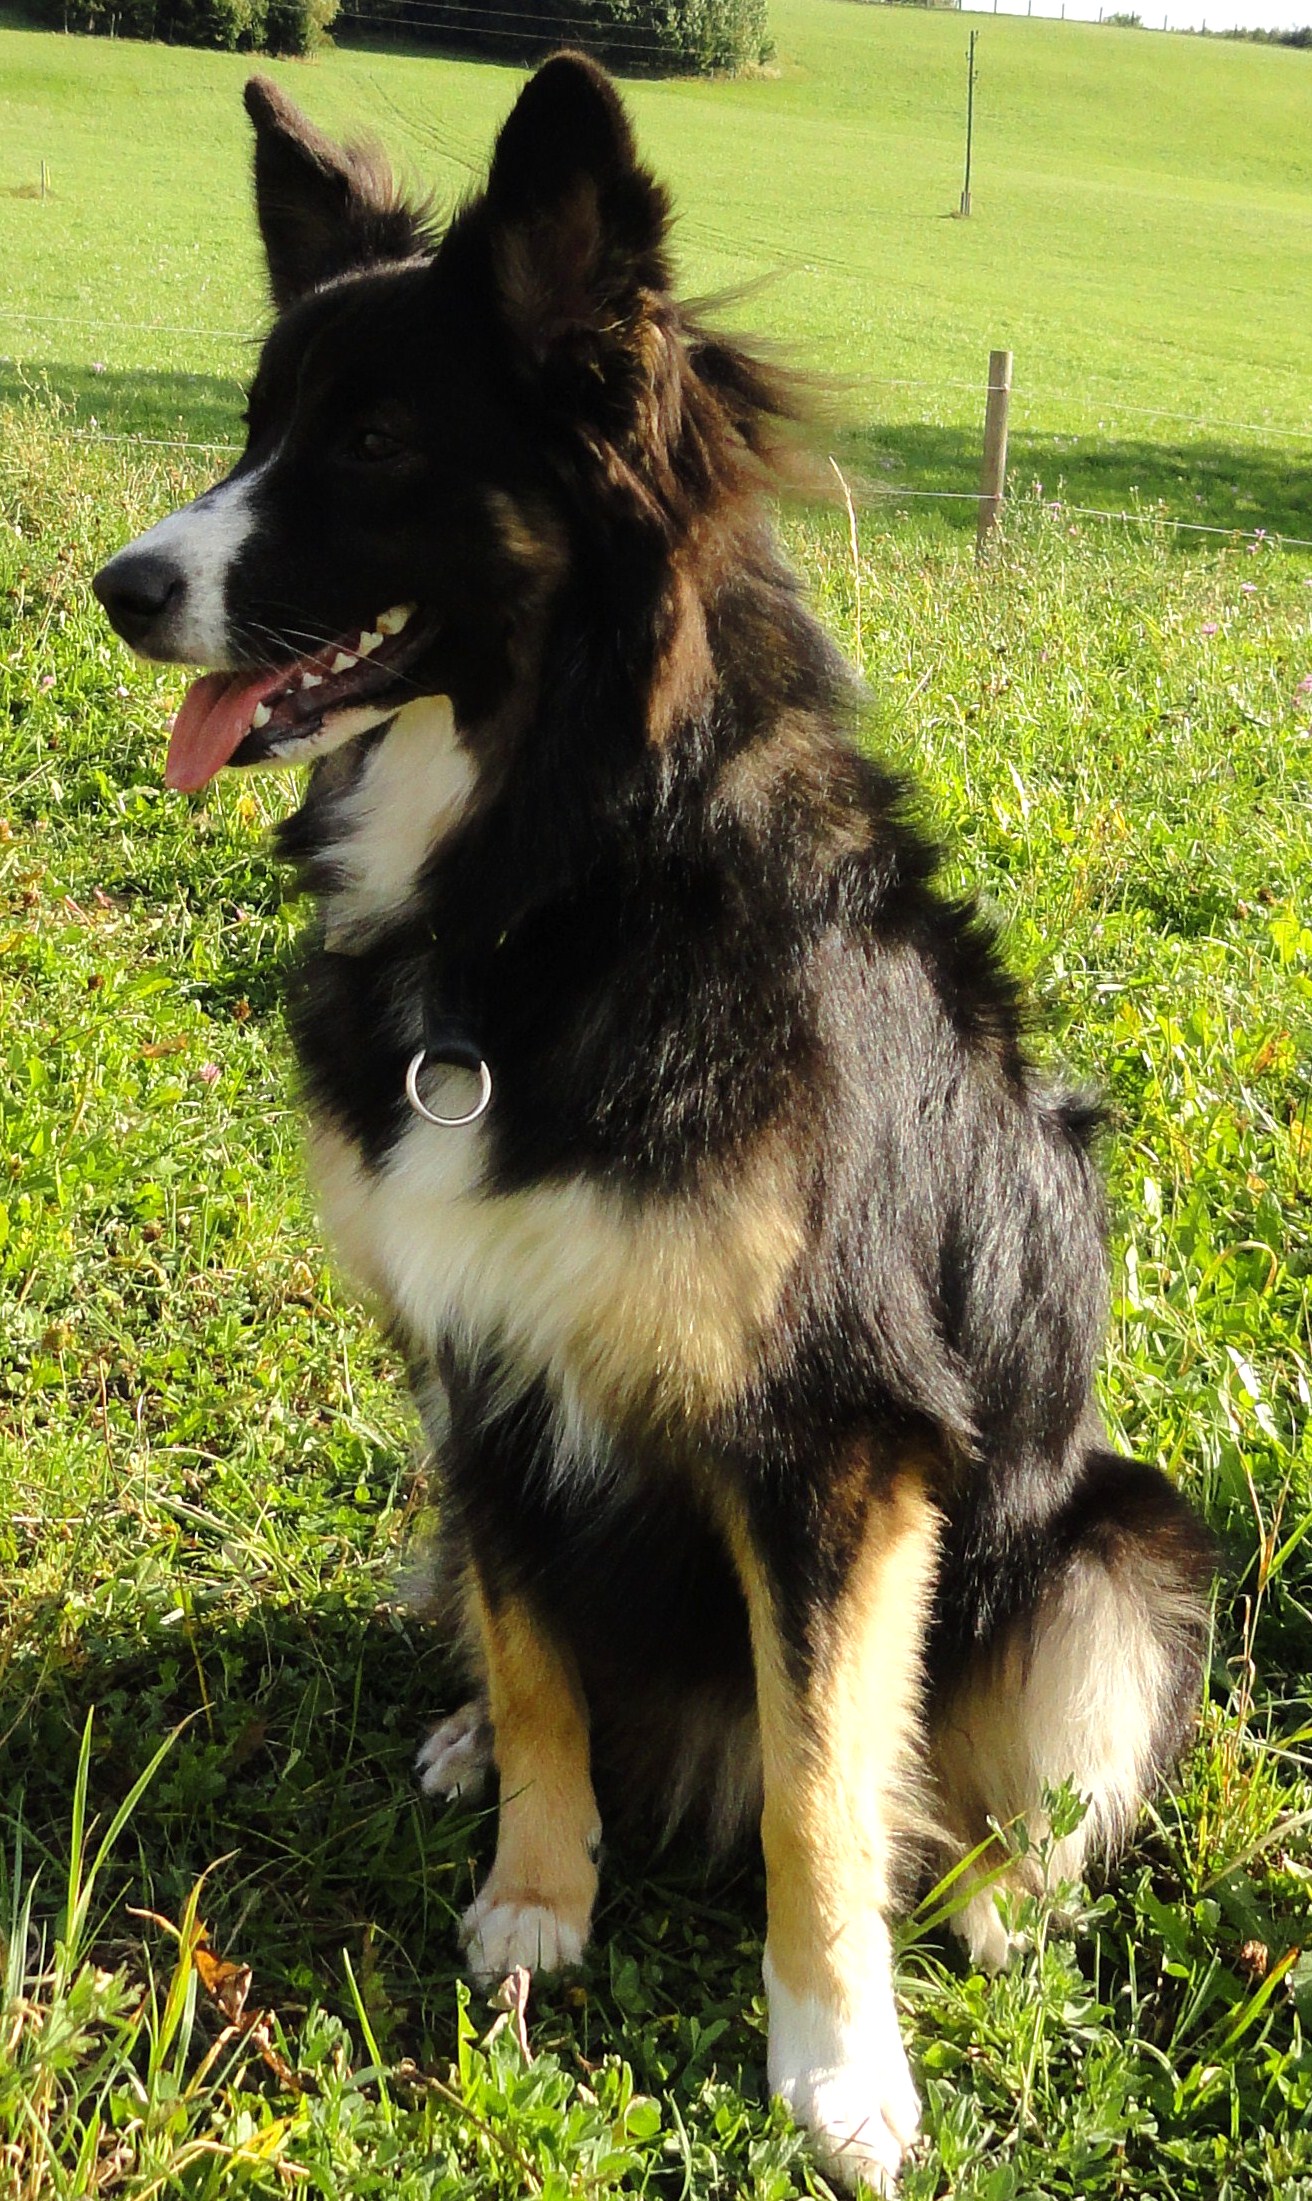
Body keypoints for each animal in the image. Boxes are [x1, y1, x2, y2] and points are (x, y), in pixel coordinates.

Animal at [94, 60, 1206, 2192]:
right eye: (255, 423)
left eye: (374, 439)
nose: (115, 591)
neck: (555, 895)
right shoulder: (478, 1360)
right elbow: (540, 1666)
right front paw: (538, 1898)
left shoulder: (834, 1442)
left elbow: (818, 1782)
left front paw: (839, 2063)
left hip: (1119, 1545)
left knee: (1004, 1785)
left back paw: (983, 1909)